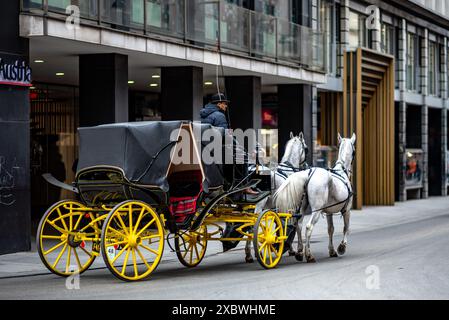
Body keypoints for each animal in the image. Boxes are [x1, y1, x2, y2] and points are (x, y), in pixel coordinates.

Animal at [243, 132, 310, 262]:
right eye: (306, 148)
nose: (306, 165)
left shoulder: (279, 207)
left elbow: (282, 224)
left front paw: (286, 247)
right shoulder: (293, 206)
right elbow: (295, 225)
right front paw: (297, 250)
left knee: (248, 225)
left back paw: (249, 253)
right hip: (258, 204)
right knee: (252, 225)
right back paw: (255, 252)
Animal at [272, 132, 354, 262]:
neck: (341, 171)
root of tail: (308, 174)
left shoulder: (328, 212)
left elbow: (330, 229)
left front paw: (332, 250)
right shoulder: (347, 209)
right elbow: (346, 227)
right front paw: (342, 247)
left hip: (302, 207)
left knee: (298, 225)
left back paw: (300, 252)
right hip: (316, 210)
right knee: (308, 227)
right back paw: (308, 254)